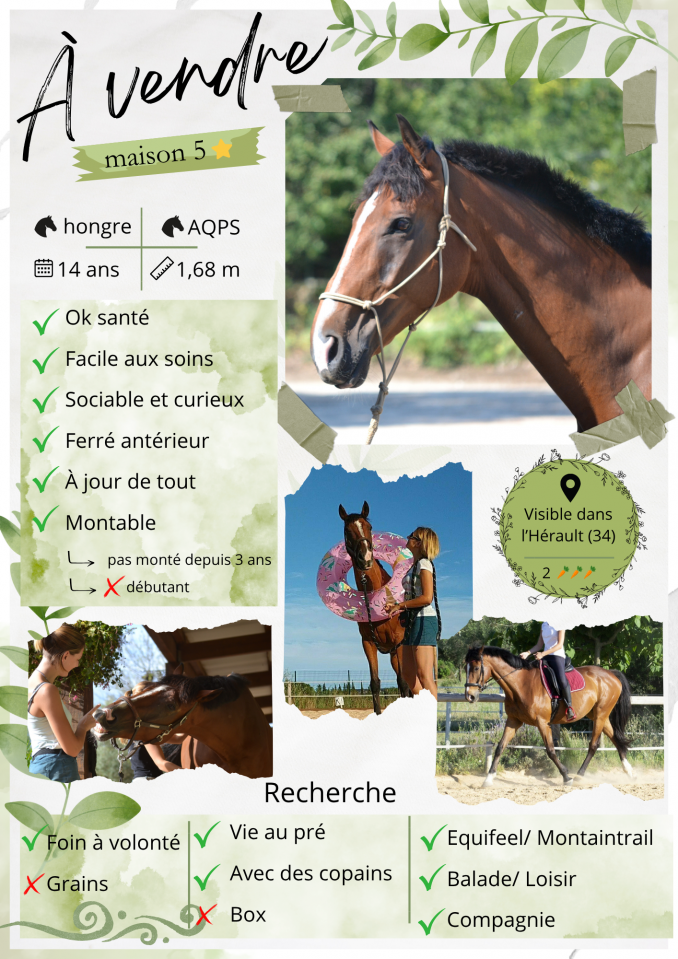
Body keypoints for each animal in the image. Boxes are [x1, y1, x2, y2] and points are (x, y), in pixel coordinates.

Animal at [339, 501, 411, 714]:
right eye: (347, 530)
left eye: (369, 527)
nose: (366, 558)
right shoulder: (368, 643)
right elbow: (375, 684)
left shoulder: (398, 642)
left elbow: (403, 684)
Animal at [464, 646, 633, 787]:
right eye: (466, 668)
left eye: (476, 668)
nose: (469, 696)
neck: (521, 684)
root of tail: (611, 674)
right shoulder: (513, 721)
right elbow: (500, 747)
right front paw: (488, 779)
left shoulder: (542, 722)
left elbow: (551, 750)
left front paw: (566, 777)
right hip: (599, 715)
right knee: (616, 739)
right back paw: (630, 771)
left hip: (600, 714)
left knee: (593, 745)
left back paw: (579, 775)